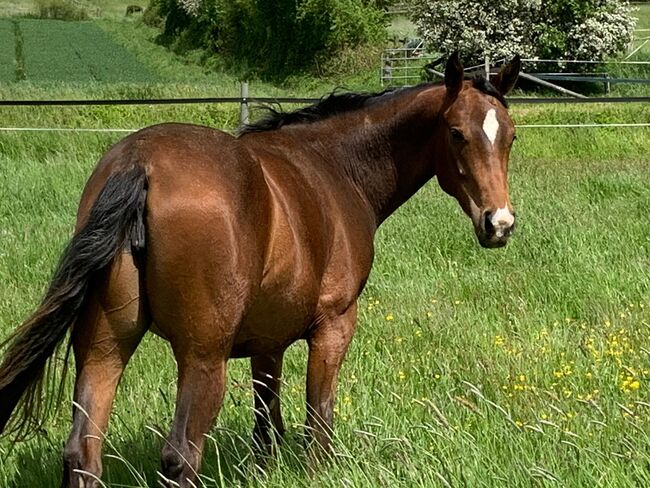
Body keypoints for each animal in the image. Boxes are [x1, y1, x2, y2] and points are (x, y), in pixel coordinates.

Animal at [0, 51, 520, 486]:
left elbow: (266, 422)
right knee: (180, 455)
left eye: (511, 136)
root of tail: (139, 164)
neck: (335, 167)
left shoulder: (267, 342)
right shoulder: (334, 326)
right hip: (202, 359)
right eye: (457, 133)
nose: (499, 223)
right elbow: (318, 416)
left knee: (82, 452)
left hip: (104, 348)